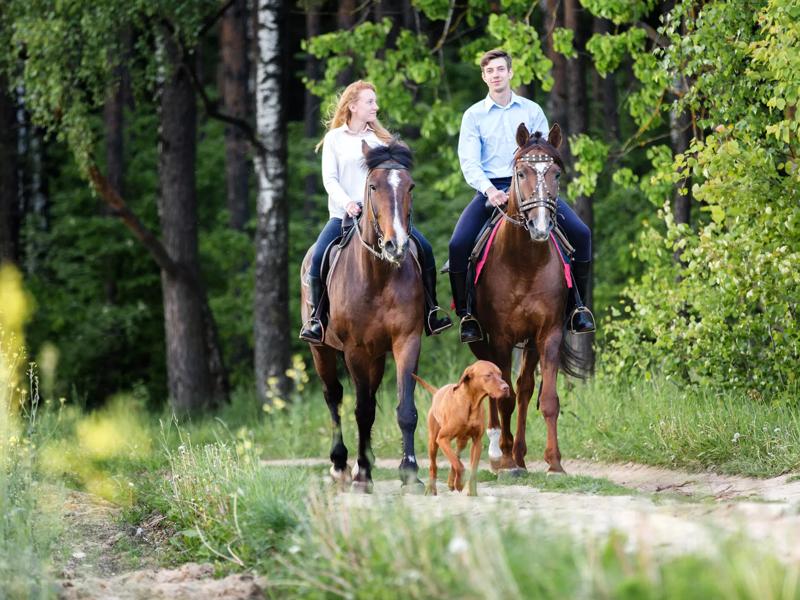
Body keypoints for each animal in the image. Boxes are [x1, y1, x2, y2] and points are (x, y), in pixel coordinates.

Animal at [300, 141, 424, 492]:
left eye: (410, 186)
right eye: (373, 186)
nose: (396, 245)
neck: (378, 275)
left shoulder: (407, 341)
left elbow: (405, 409)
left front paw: (410, 472)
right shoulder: (355, 349)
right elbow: (363, 410)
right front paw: (364, 474)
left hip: (376, 356)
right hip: (322, 350)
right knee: (334, 397)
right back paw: (341, 465)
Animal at [416, 360, 510, 496]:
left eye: (500, 374)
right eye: (488, 375)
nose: (506, 387)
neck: (471, 404)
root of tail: (437, 392)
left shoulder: (477, 442)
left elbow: (471, 469)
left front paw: (472, 492)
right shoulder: (442, 438)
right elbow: (459, 466)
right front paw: (460, 483)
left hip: (462, 441)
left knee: (456, 455)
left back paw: (451, 481)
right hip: (433, 442)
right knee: (434, 465)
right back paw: (431, 488)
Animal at [468, 123, 588, 474]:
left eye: (556, 174)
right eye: (521, 173)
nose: (540, 225)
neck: (525, 263)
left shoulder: (548, 334)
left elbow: (546, 399)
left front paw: (554, 463)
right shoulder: (501, 338)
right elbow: (503, 396)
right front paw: (505, 458)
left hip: (531, 343)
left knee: (523, 389)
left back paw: (520, 454)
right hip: (480, 340)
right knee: (493, 387)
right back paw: (499, 454)